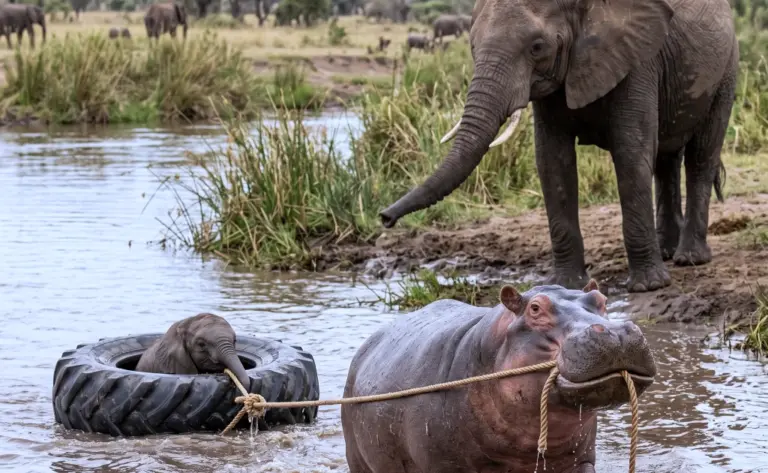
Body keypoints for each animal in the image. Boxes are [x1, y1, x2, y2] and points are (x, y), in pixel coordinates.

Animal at [379, 0, 738, 294]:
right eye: (472, 45)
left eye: (537, 47)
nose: (384, 218)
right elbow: (552, 161)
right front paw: (566, 285)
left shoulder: (638, 61)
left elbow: (631, 152)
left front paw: (648, 287)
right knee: (666, 160)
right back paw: (667, 251)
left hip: (727, 70)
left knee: (701, 156)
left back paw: (689, 259)